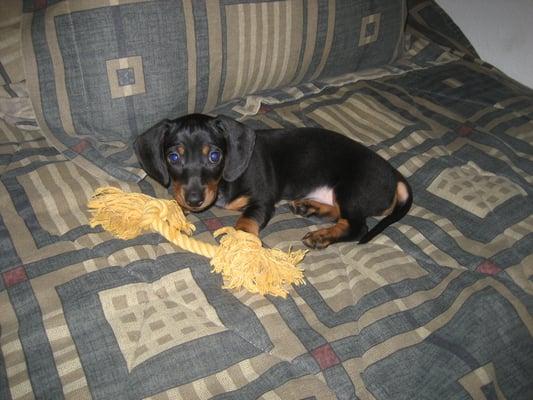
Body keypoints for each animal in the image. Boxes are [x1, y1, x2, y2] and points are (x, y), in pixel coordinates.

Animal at [133, 114, 412, 248]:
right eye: (173, 157)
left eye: (214, 156)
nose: (194, 200)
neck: (223, 183)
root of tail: (395, 175)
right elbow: (174, 203)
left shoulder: (262, 201)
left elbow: (245, 221)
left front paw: (241, 242)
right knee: (341, 215)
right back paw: (310, 208)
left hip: (351, 189)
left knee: (357, 226)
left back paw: (321, 236)